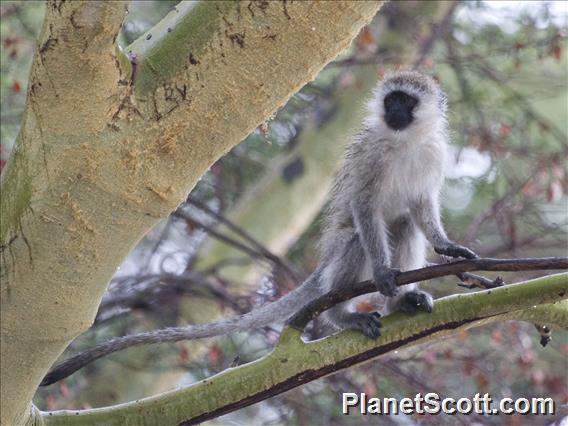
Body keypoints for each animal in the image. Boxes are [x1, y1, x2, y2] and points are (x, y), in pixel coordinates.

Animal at [41, 70, 474, 386]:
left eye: (407, 102)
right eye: (391, 101)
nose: (394, 112)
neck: (406, 142)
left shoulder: (432, 154)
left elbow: (421, 207)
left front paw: (447, 248)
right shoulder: (372, 157)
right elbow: (363, 207)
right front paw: (384, 273)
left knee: (405, 225)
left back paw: (400, 301)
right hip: (338, 256)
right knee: (356, 237)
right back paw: (342, 314)